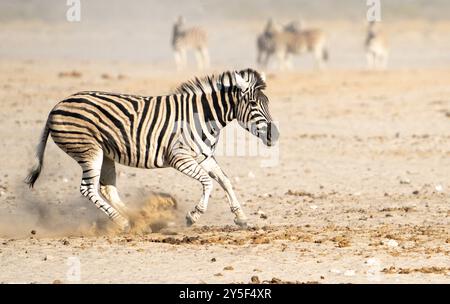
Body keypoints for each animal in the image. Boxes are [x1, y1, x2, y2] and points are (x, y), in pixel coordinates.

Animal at [25, 68, 278, 230]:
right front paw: (193, 216)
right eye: (253, 104)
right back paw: (125, 222)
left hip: (105, 154)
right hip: (89, 151)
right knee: (88, 189)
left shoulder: (204, 156)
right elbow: (208, 183)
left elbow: (225, 181)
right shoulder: (179, 157)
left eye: (267, 103)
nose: (274, 135)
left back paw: (138, 218)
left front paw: (241, 218)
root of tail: (56, 106)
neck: (203, 117)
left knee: (107, 189)